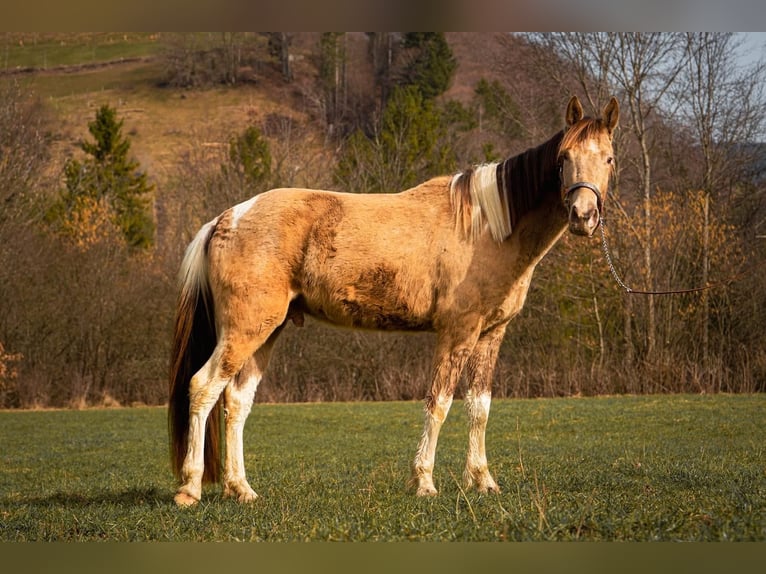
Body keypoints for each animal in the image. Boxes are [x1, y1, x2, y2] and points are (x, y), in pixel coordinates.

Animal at [168, 95, 619, 506]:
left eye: (610, 159)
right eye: (563, 158)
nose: (583, 216)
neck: (488, 227)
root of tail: (227, 217)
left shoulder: (491, 334)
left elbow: (479, 407)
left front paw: (483, 482)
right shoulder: (457, 332)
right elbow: (439, 403)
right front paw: (424, 482)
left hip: (267, 331)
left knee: (236, 401)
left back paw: (241, 489)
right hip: (245, 330)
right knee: (204, 388)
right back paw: (190, 489)